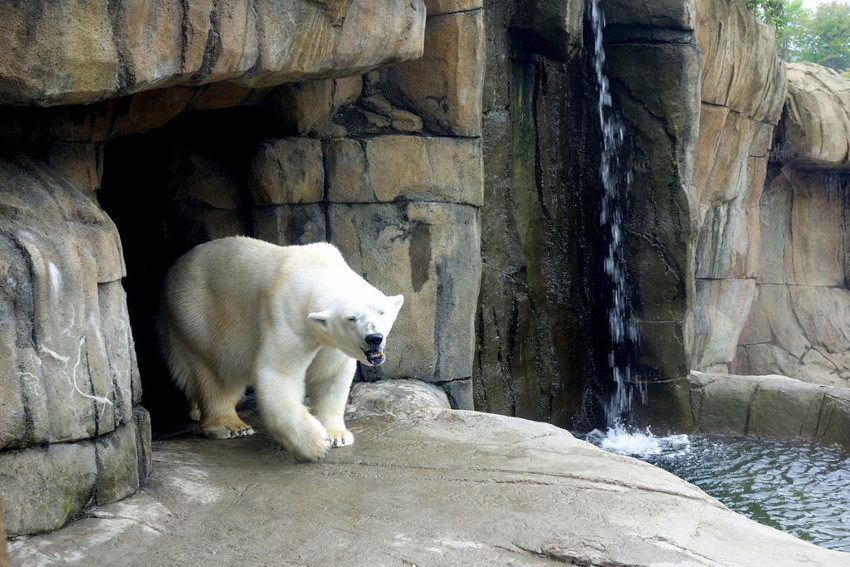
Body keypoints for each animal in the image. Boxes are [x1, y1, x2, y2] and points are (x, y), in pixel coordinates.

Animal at [159, 235, 404, 462]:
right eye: (351, 318)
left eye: (381, 311)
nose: (374, 338)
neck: (316, 269)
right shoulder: (288, 316)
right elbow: (279, 373)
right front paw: (316, 444)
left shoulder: (328, 341)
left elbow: (330, 375)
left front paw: (337, 435)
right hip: (196, 315)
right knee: (210, 372)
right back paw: (231, 425)